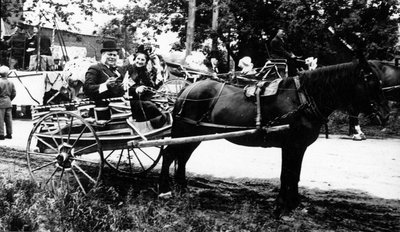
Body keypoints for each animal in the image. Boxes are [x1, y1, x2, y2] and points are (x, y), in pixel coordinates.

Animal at [158, 58, 390, 218]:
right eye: (369, 80)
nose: (386, 114)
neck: (303, 97)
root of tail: (187, 88)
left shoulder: (298, 147)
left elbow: (293, 175)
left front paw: (294, 204)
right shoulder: (291, 145)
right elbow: (287, 175)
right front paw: (282, 206)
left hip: (196, 134)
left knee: (181, 158)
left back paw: (182, 190)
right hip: (186, 131)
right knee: (169, 155)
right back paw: (164, 190)